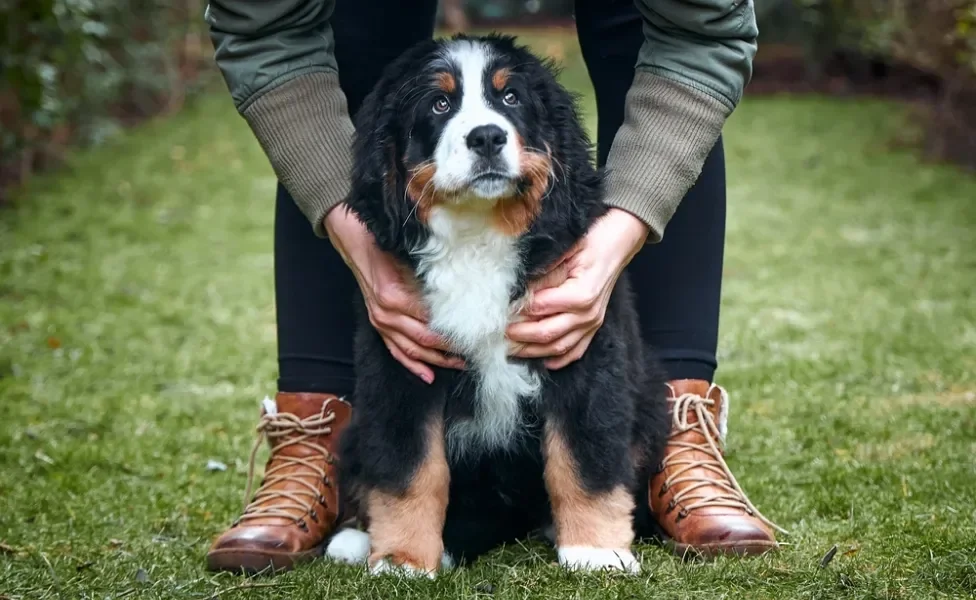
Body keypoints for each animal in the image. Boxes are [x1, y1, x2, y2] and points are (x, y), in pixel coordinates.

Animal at [324, 32, 668, 576]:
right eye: (439, 104)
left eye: (510, 98)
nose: (486, 137)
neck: (478, 234)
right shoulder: (400, 366)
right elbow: (408, 467)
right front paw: (402, 558)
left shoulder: (583, 352)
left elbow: (583, 459)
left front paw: (594, 552)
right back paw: (362, 540)